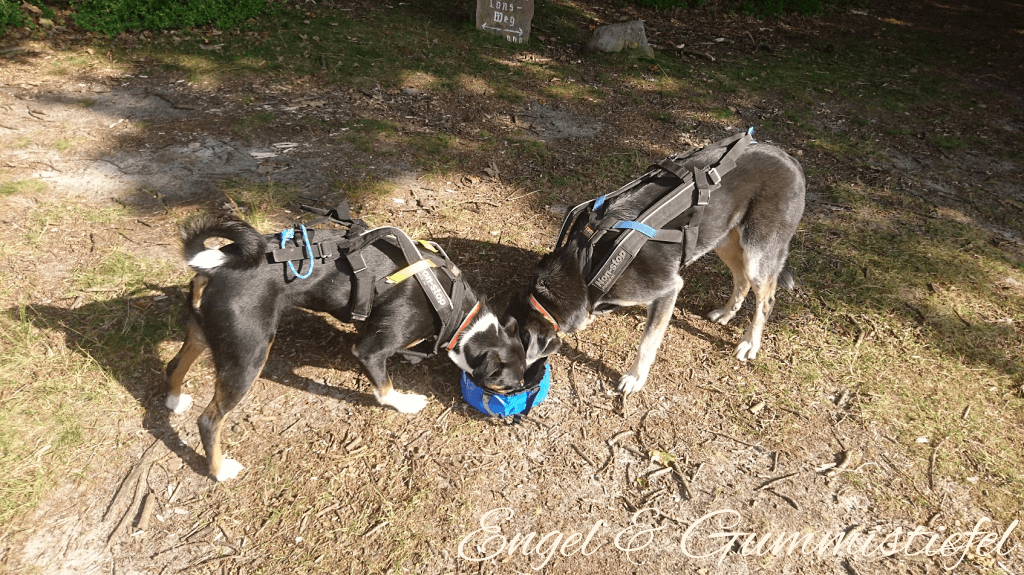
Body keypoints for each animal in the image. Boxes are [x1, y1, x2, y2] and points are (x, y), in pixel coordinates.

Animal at [165, 213, 528, 478]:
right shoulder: (371, 351)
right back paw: (219, 470)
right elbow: (385, 388)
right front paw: (404, 402)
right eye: (509, 385)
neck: (458, 313)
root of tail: (216, 264)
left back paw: (174, 400)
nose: (520, 411)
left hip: (205, 334)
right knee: (209, 420)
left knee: (174, 364)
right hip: (248, 355)